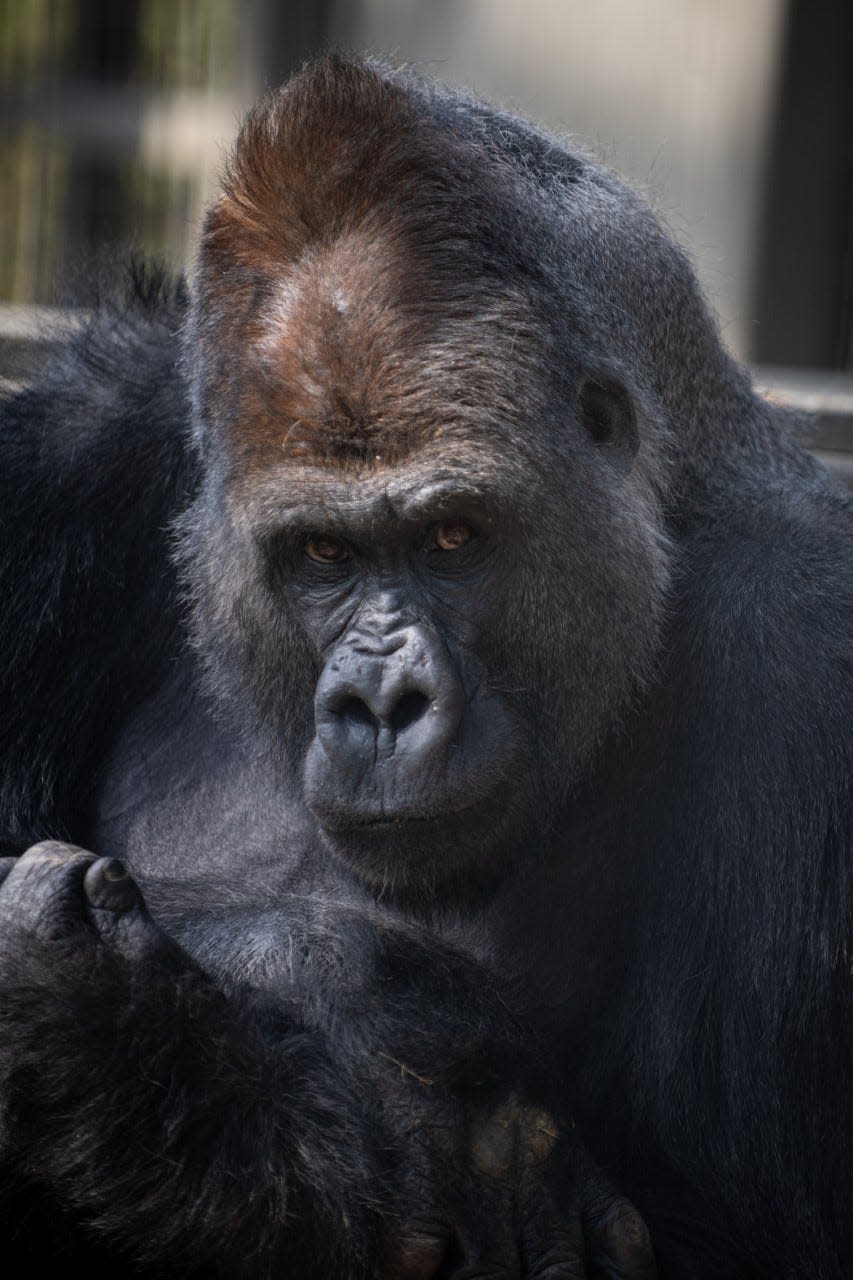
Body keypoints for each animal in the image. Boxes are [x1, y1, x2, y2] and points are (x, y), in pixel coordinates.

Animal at [1, 52, 850, 1280]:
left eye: (453, 538)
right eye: (323, 553)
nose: (381, 701)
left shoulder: (806, 650)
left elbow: (749, 1230)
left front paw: (151, 1057)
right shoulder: (72, 444)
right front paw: (324, 991)